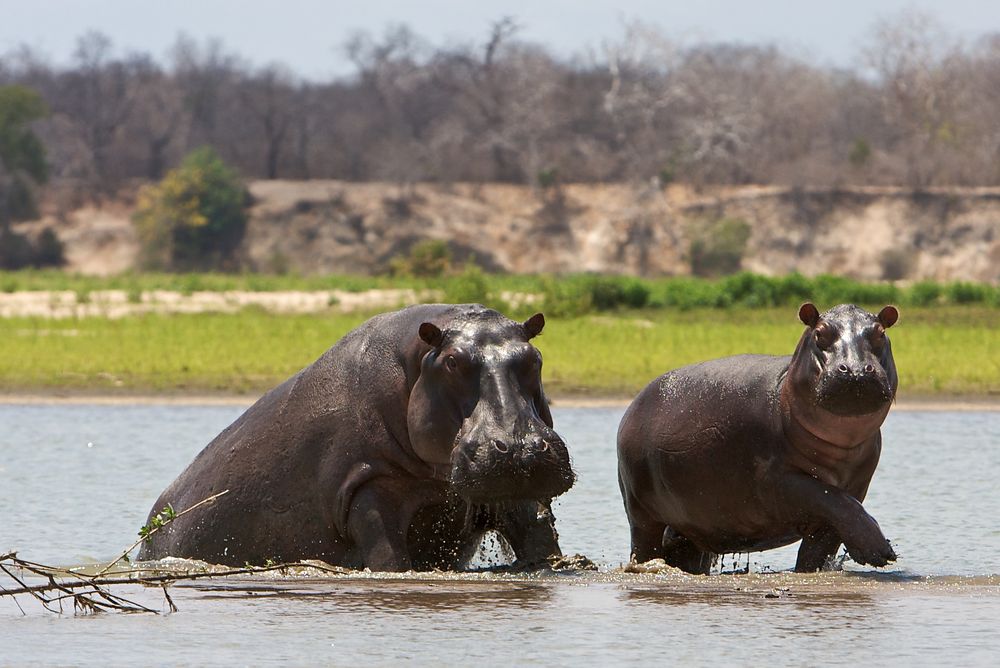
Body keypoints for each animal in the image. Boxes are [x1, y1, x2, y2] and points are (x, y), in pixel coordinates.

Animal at [142, 306, 580, 572]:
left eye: (534, 358)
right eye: (453, 362)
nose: (520, 447)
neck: (414, 362)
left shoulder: (507, 485)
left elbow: (538, 534)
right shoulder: (368, 485)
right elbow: (390, 557)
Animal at [616, 302, 900, 576]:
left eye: (880, 333)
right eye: (820, 333)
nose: (856, 370)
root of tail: (632, 406)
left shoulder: (855, 487)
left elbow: (829, 534)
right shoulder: (778, 481)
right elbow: (830, 497)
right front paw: (880, 552)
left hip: (694, 524)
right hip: (641, 510)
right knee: (644, 543)